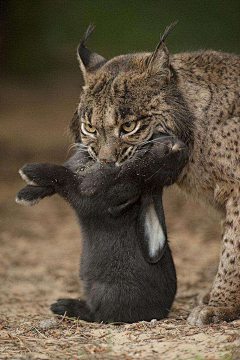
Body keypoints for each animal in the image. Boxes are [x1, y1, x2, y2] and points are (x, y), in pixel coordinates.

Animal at [16, 136, 189, 322]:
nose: (180, 148)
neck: (138, 173)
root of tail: (158, 313)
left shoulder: (85, 193)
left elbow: (63, 177)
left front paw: (28, 171)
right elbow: (51, 185)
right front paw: (25, 195)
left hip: (104, 293)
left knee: (97, 314)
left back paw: (62, 305)